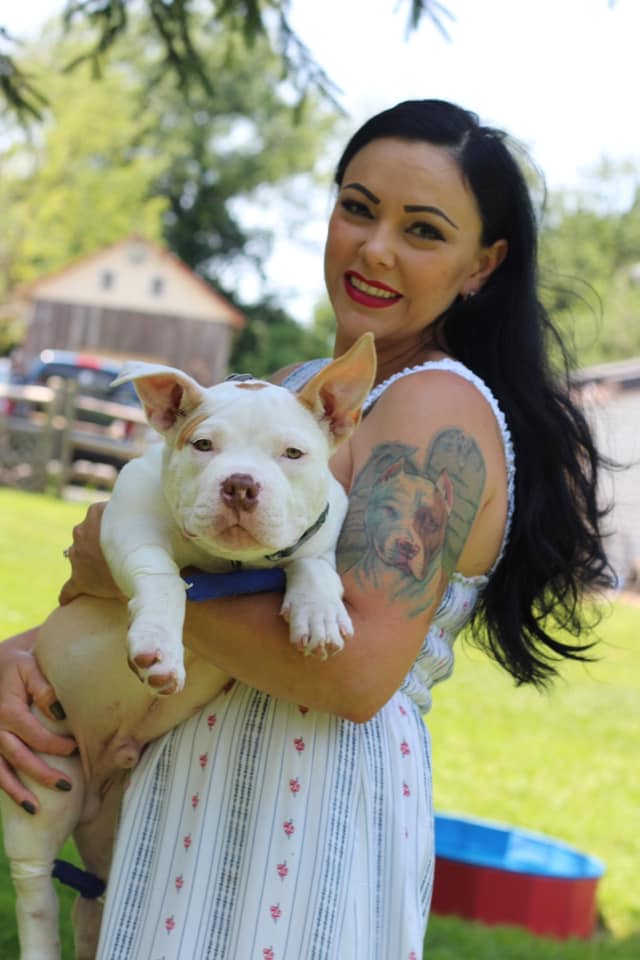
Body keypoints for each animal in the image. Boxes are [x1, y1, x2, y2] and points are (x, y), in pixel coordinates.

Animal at [0, 336, 376, 960]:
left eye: (293, 454)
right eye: (203, 445)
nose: (241, 484)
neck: (228, 566)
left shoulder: (323, 527)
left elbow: (313, 562)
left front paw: (319, 609)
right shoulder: (128, 526)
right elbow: (165, 581)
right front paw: (158, 647)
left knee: (91, 904)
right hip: (46, 777)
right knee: (36, 892)